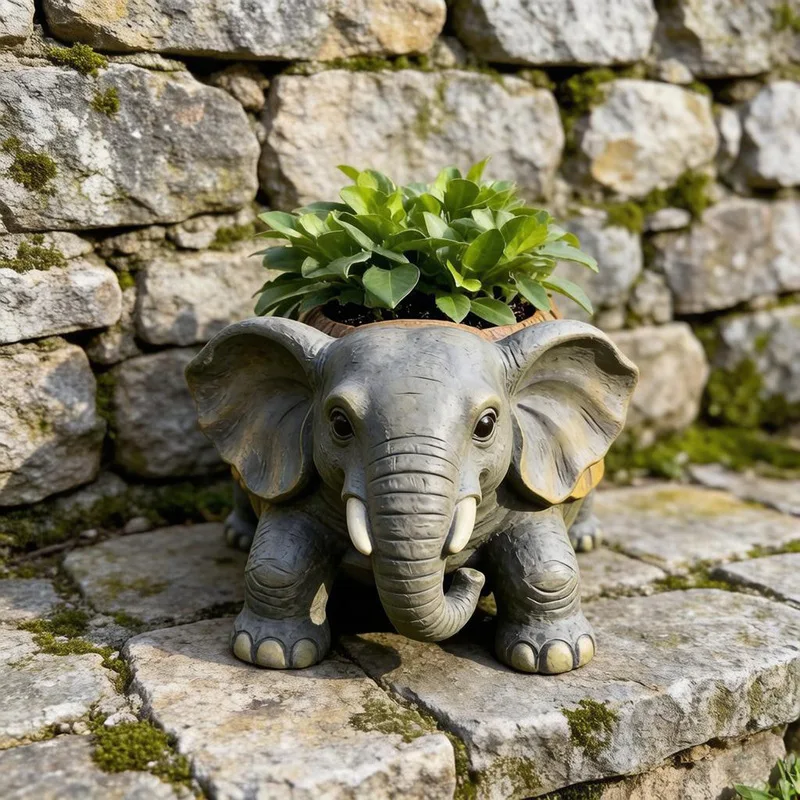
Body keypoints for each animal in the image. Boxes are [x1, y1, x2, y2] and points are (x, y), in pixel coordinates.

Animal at [185, 316, 638, 674]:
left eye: (487, 425)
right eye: (339, 423)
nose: (470, 578)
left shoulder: (521, 484)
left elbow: (544, 565)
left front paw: (557, 658)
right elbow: (278, 562)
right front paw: (269, 653)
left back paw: (587, 540)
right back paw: (239, 537)